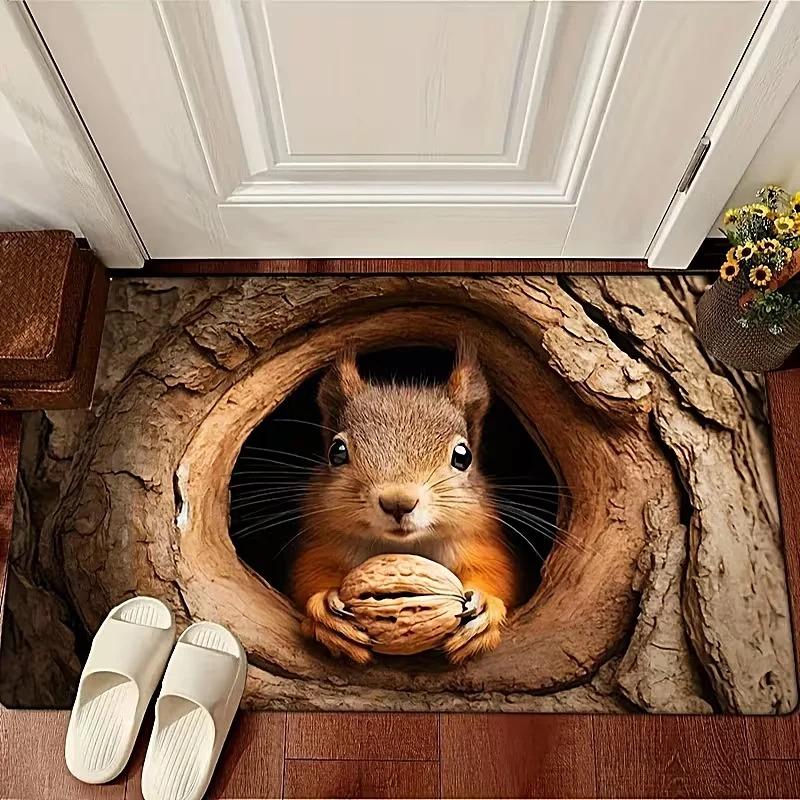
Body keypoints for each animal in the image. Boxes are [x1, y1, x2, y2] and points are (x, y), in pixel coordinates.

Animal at [289, 339, 523, 665]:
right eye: (337, 451)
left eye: (463, 456)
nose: (398, 502)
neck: (405, 546)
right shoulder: (325, 540)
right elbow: (308, 573)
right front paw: (324, 607)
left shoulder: (478, 540)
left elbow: (498, 574)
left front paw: (486, 606)